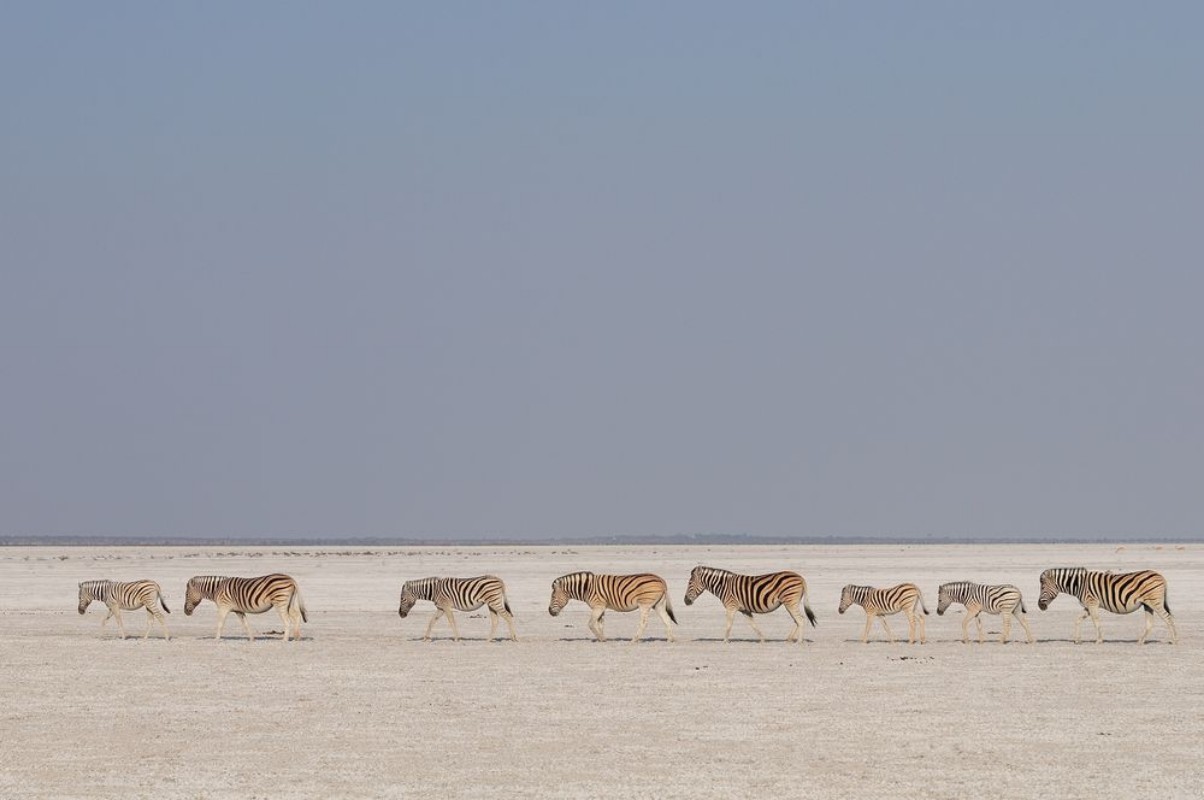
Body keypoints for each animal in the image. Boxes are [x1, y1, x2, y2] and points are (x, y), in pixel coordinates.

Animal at [548, 571, 677, 643]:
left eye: (553, 596)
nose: (550, 612)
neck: (586, 588)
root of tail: (661, 579)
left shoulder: (598, 607)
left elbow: (591, 624)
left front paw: (601, 639)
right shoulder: (602, 607)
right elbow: (600, 624)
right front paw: (603, 639)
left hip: (645, 604)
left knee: (644, 623)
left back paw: (634, 640)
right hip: (659, 604)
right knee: (666, 620)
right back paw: (670, 640)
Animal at [684, 566, 818, 644]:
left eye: (690, 583)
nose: (685, 601)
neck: (723, 586)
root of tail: (800, 577)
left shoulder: (731, 606)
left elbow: (729, 624)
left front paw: (725, 641)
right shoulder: (745, 609)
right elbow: (753, 625)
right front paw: (762, 640)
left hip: (790, 601)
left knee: (800, 619)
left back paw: (799, 642)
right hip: (790, 602)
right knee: (797, 620)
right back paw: (789, 639)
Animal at [1037, 567, 1177, 644]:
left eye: (1043, 587)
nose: (1040, 606)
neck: (1078, 584)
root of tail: (1160, 576)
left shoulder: (1092, 602)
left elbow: (1096, 621)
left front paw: (1099, 640)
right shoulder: (1088, 605)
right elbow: (1078, 620)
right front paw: (1077, 640)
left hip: (1154, 601)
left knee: (1168, 618)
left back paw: (1174, 640)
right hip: (1147, 604)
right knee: (1150, 623)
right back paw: (1140, 641)